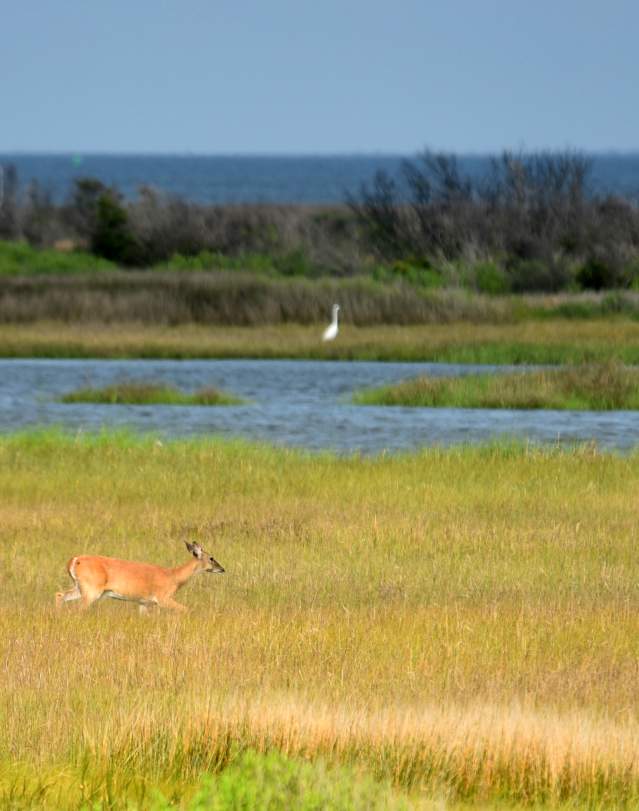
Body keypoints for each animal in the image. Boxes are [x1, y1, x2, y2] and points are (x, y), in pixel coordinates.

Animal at [55, 541, 224, 613]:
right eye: (211, 558)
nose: (222, 569)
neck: (173, 577)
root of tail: (74, 560)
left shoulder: (144, 602)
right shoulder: (163, 598)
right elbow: (186, 609)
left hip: (81, 587)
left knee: (60, 594)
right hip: (91, 590)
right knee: (77, 608)